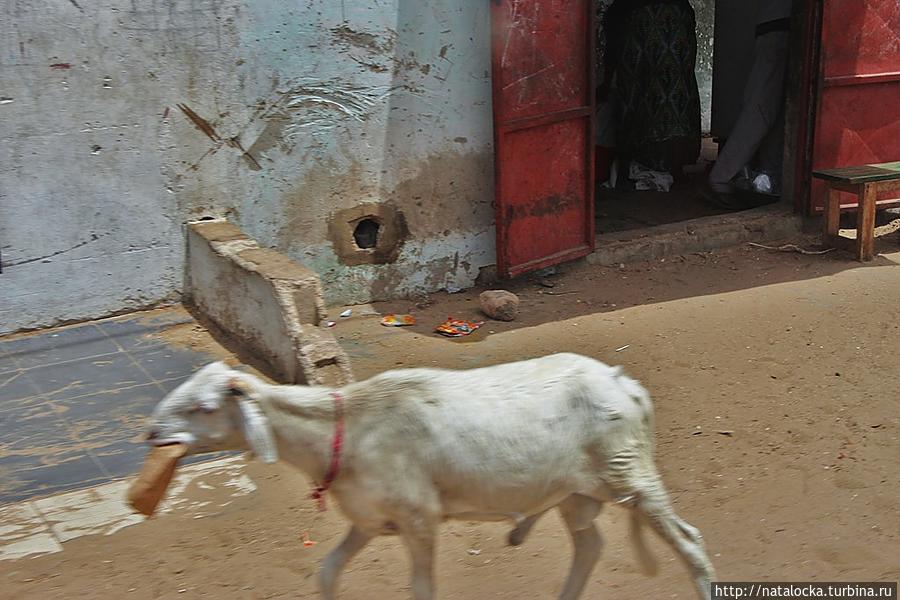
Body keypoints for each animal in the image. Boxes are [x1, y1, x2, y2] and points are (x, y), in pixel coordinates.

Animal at [146, 354, 712, 596]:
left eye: (203, 408)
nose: (152, 432)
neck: (346, 430)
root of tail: (627, 383)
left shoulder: (419, 519)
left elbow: (422, 589)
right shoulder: (370, 520)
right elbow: (327, 571)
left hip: (630, 475)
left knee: (690, 543)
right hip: (576, 493)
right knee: (590, 546)